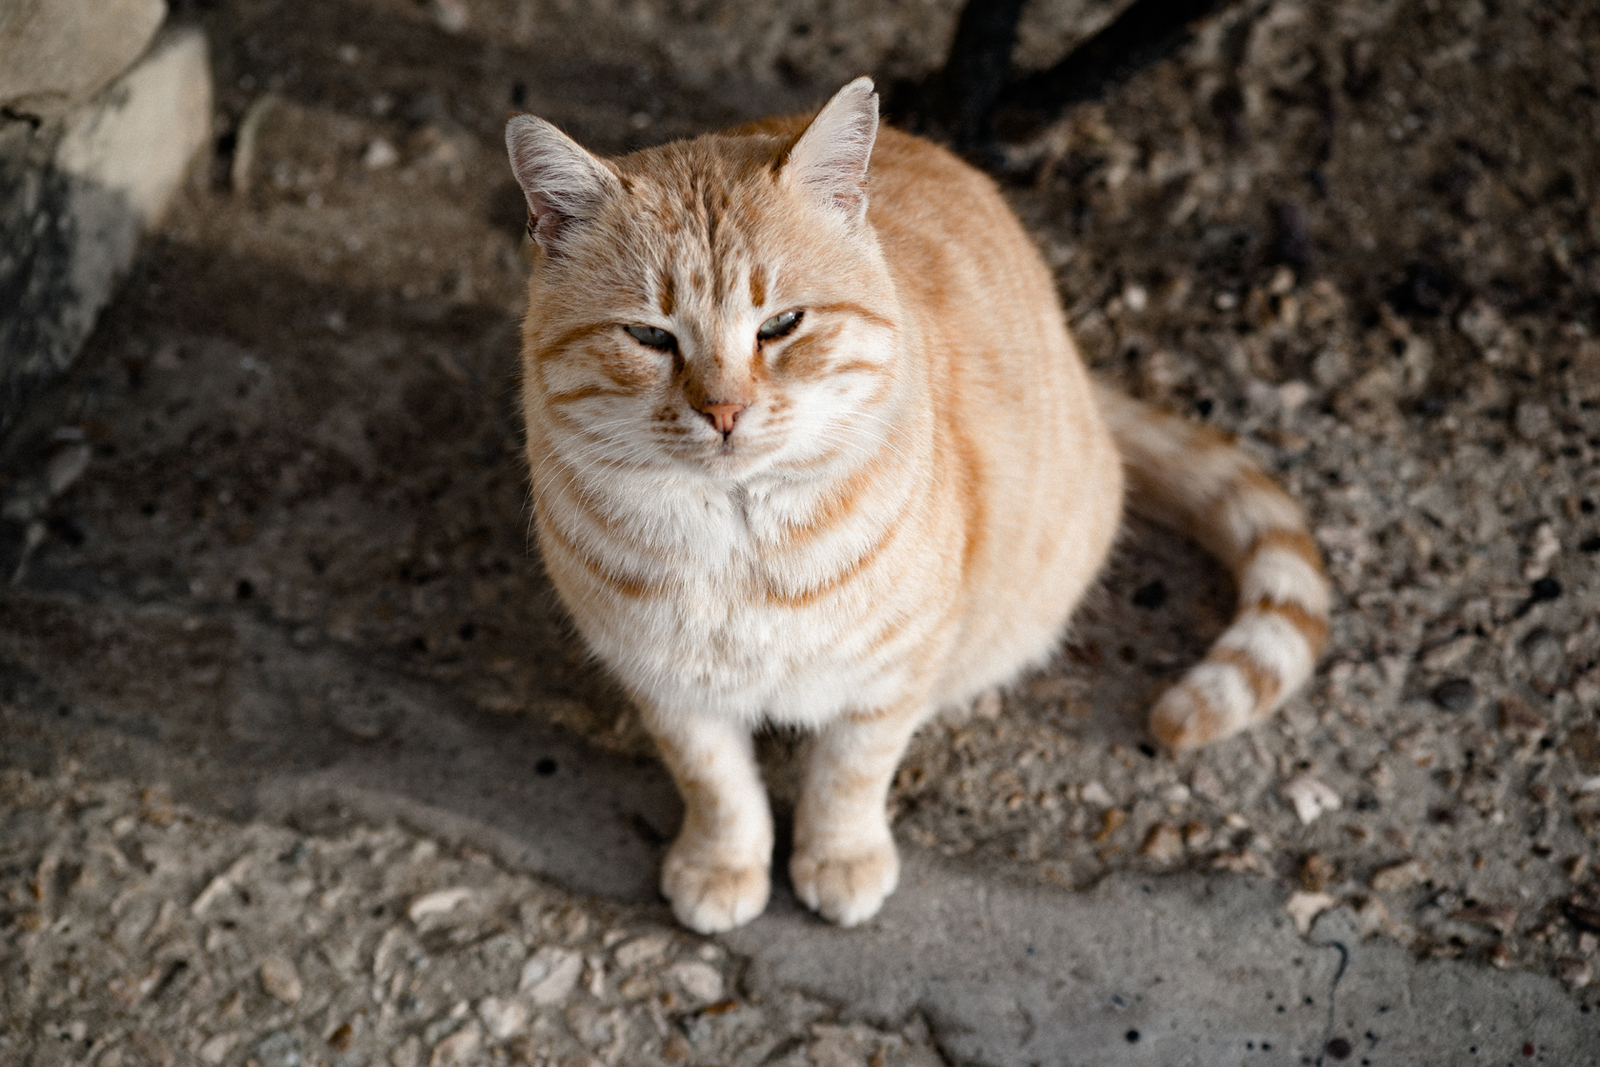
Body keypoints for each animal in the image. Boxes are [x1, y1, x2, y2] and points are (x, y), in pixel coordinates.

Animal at [505, 79, 1331, 927]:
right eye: (648, 336)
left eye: (782, 324)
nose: (724, 410)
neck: (738, 543)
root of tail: (1082, 375)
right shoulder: (667, 687)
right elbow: (717, 783)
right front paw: (723, 862)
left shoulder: (892, 672)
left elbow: (851, 773)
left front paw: (839, 857)